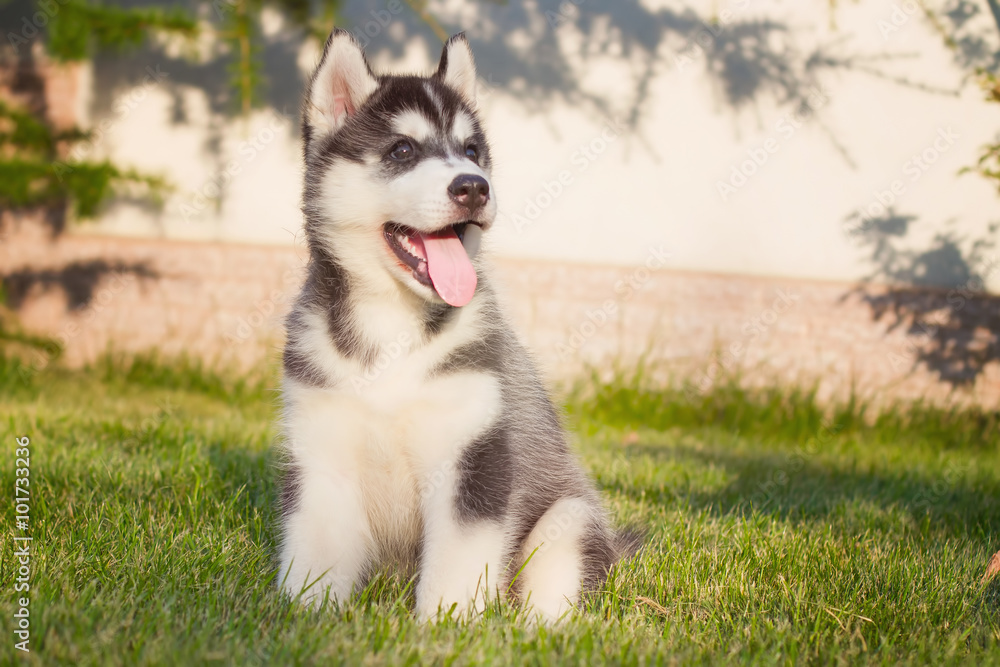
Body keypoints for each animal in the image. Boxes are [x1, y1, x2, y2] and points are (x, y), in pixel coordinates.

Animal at [278, 26, 636, 620]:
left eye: (472, 152)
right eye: (402, 150)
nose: (473, 187)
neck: (391, 326)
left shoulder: (473, 457)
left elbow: (456, 568)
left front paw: (445, 627)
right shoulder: (321, 455)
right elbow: (314, 558)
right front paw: (300, 621)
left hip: (570, 515)